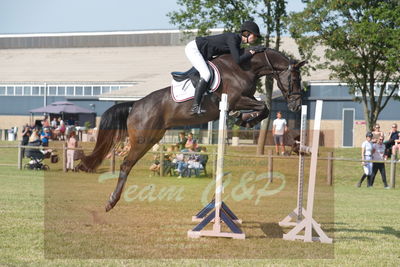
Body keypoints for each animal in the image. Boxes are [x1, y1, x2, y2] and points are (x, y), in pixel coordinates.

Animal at [79, 47, 310, 211]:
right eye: (295, 78)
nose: (296, 106)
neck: (245, 67)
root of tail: (135, 104)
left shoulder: (243, 99)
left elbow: (263, 107)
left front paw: (243, 119)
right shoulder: (236, 98)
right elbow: (264, 107)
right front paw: (245, 119)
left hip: (153, 138)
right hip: (143, 139)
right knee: (126, 165)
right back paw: (111, 201)